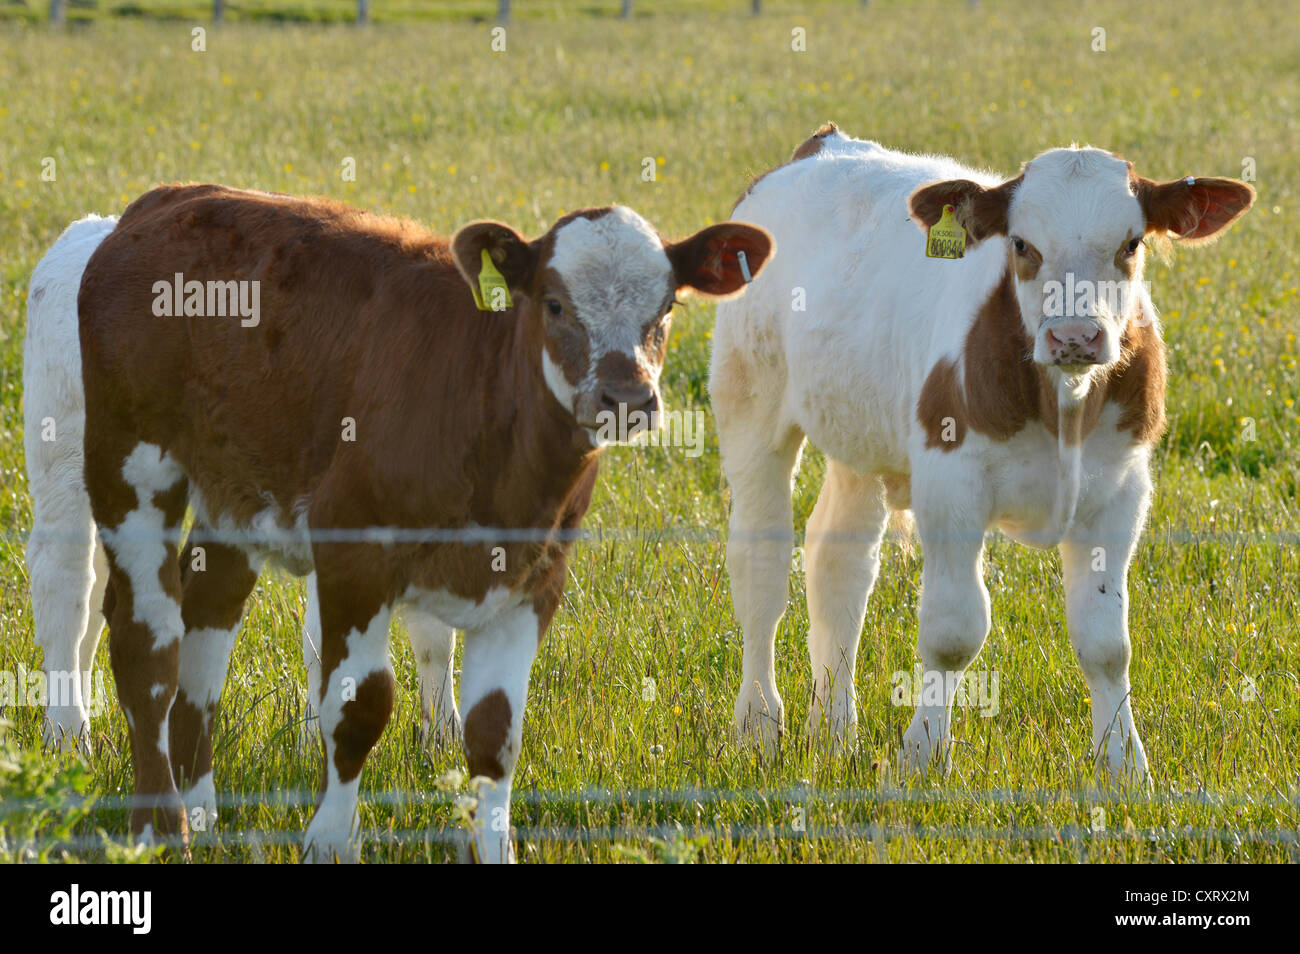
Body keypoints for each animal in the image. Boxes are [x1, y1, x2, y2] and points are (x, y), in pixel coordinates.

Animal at [717, 125, 1253, 785]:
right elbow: (954, 633)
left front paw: (1125, 767)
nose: (1074, 337)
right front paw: (922, 756)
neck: (1061, 402)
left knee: (837, 562)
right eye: (1022, 244)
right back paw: (758, 727)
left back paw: (834, 733)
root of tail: (823, 145)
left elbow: (1107, 643)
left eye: (1130, 244)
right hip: (749, 400)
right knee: (761, 568)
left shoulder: (1122, 490)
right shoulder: (951, 485)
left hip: (859, 438)